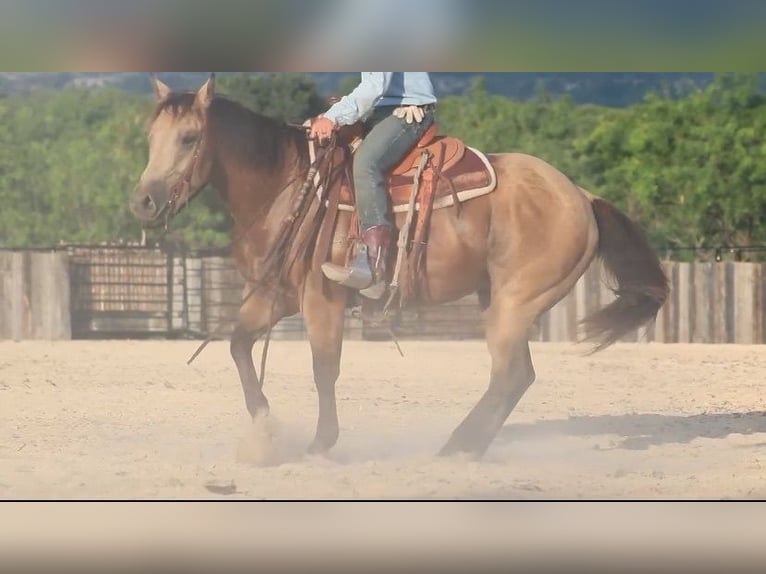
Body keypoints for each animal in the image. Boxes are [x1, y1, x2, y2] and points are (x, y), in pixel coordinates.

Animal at [128, 74, 669, 458]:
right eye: (150, 136)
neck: (285, 185)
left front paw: (320, 444)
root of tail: (581, 196)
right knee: (517, 377)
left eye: (189, 138)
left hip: (515, 303)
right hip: (498, 299)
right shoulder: (272, 295)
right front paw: (266, 428)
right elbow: (240, 347)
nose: (144, 202)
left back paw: (457, 446)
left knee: (509, 375)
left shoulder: (321, 299)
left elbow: (324, 368)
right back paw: (463, 446)